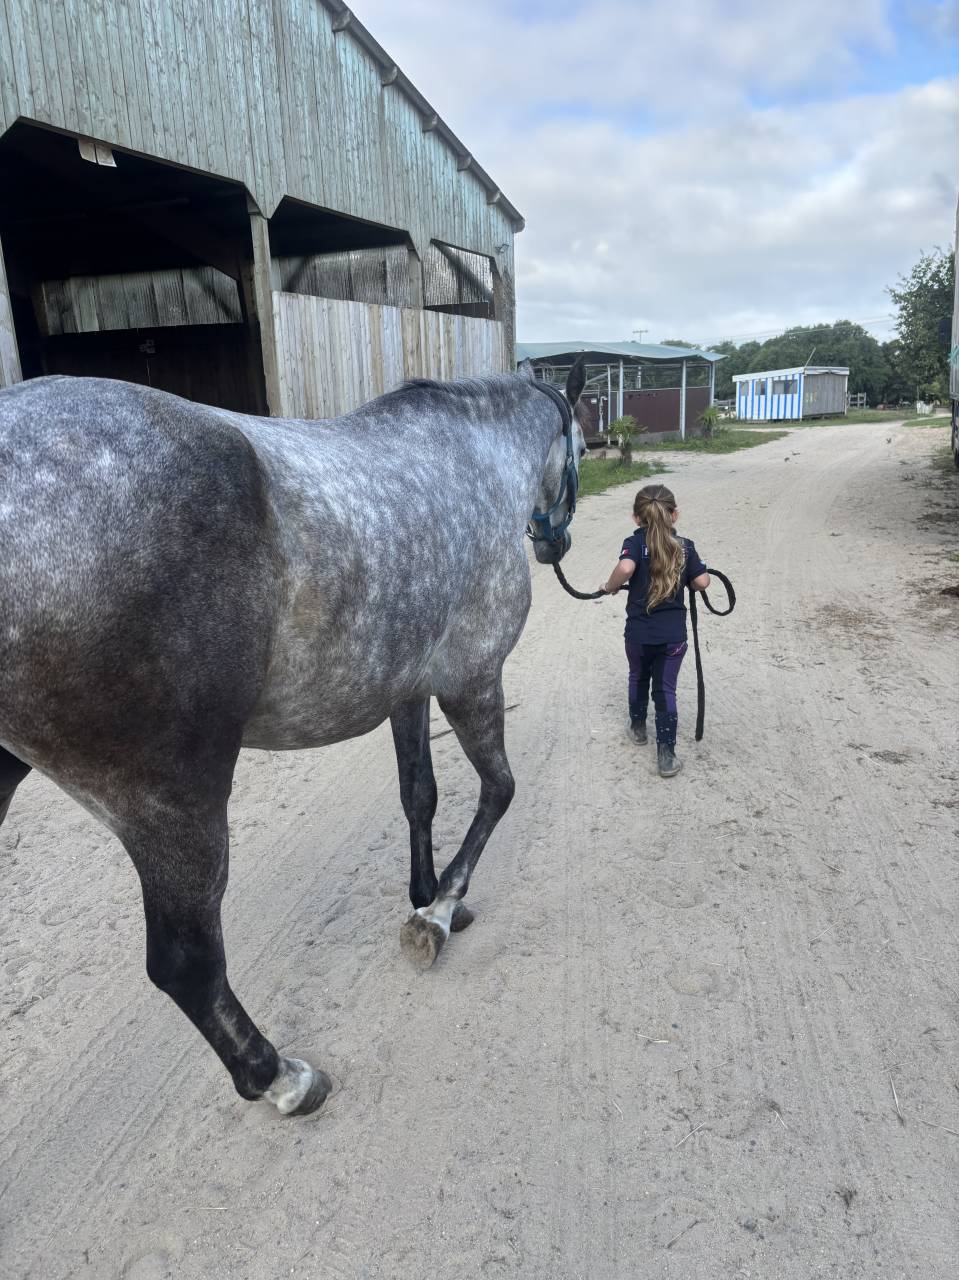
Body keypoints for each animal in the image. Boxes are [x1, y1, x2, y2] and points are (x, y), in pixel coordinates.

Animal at [0, 358, 586, 1117]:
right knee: (186, 963)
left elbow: (419, 795)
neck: (472, 457)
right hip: (166, 804)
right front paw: (436, 912)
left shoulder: (408, 690)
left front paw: (427, 894)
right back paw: (278, 1076)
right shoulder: (474, 680)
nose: (554, 543)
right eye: (581, 444)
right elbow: (498, 791)